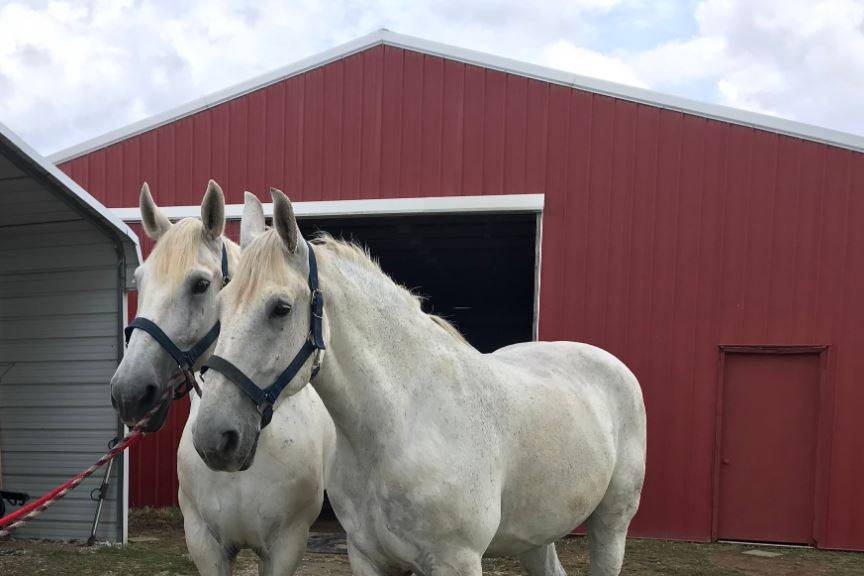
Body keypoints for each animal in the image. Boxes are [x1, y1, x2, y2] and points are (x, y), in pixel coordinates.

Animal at [192, 190, 644, 576]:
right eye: (221, 303)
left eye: (281, 308)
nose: (214, 438)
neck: (400, 425)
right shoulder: (368, 558)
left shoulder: (456, 561)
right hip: (535, 534)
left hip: (611, 523)